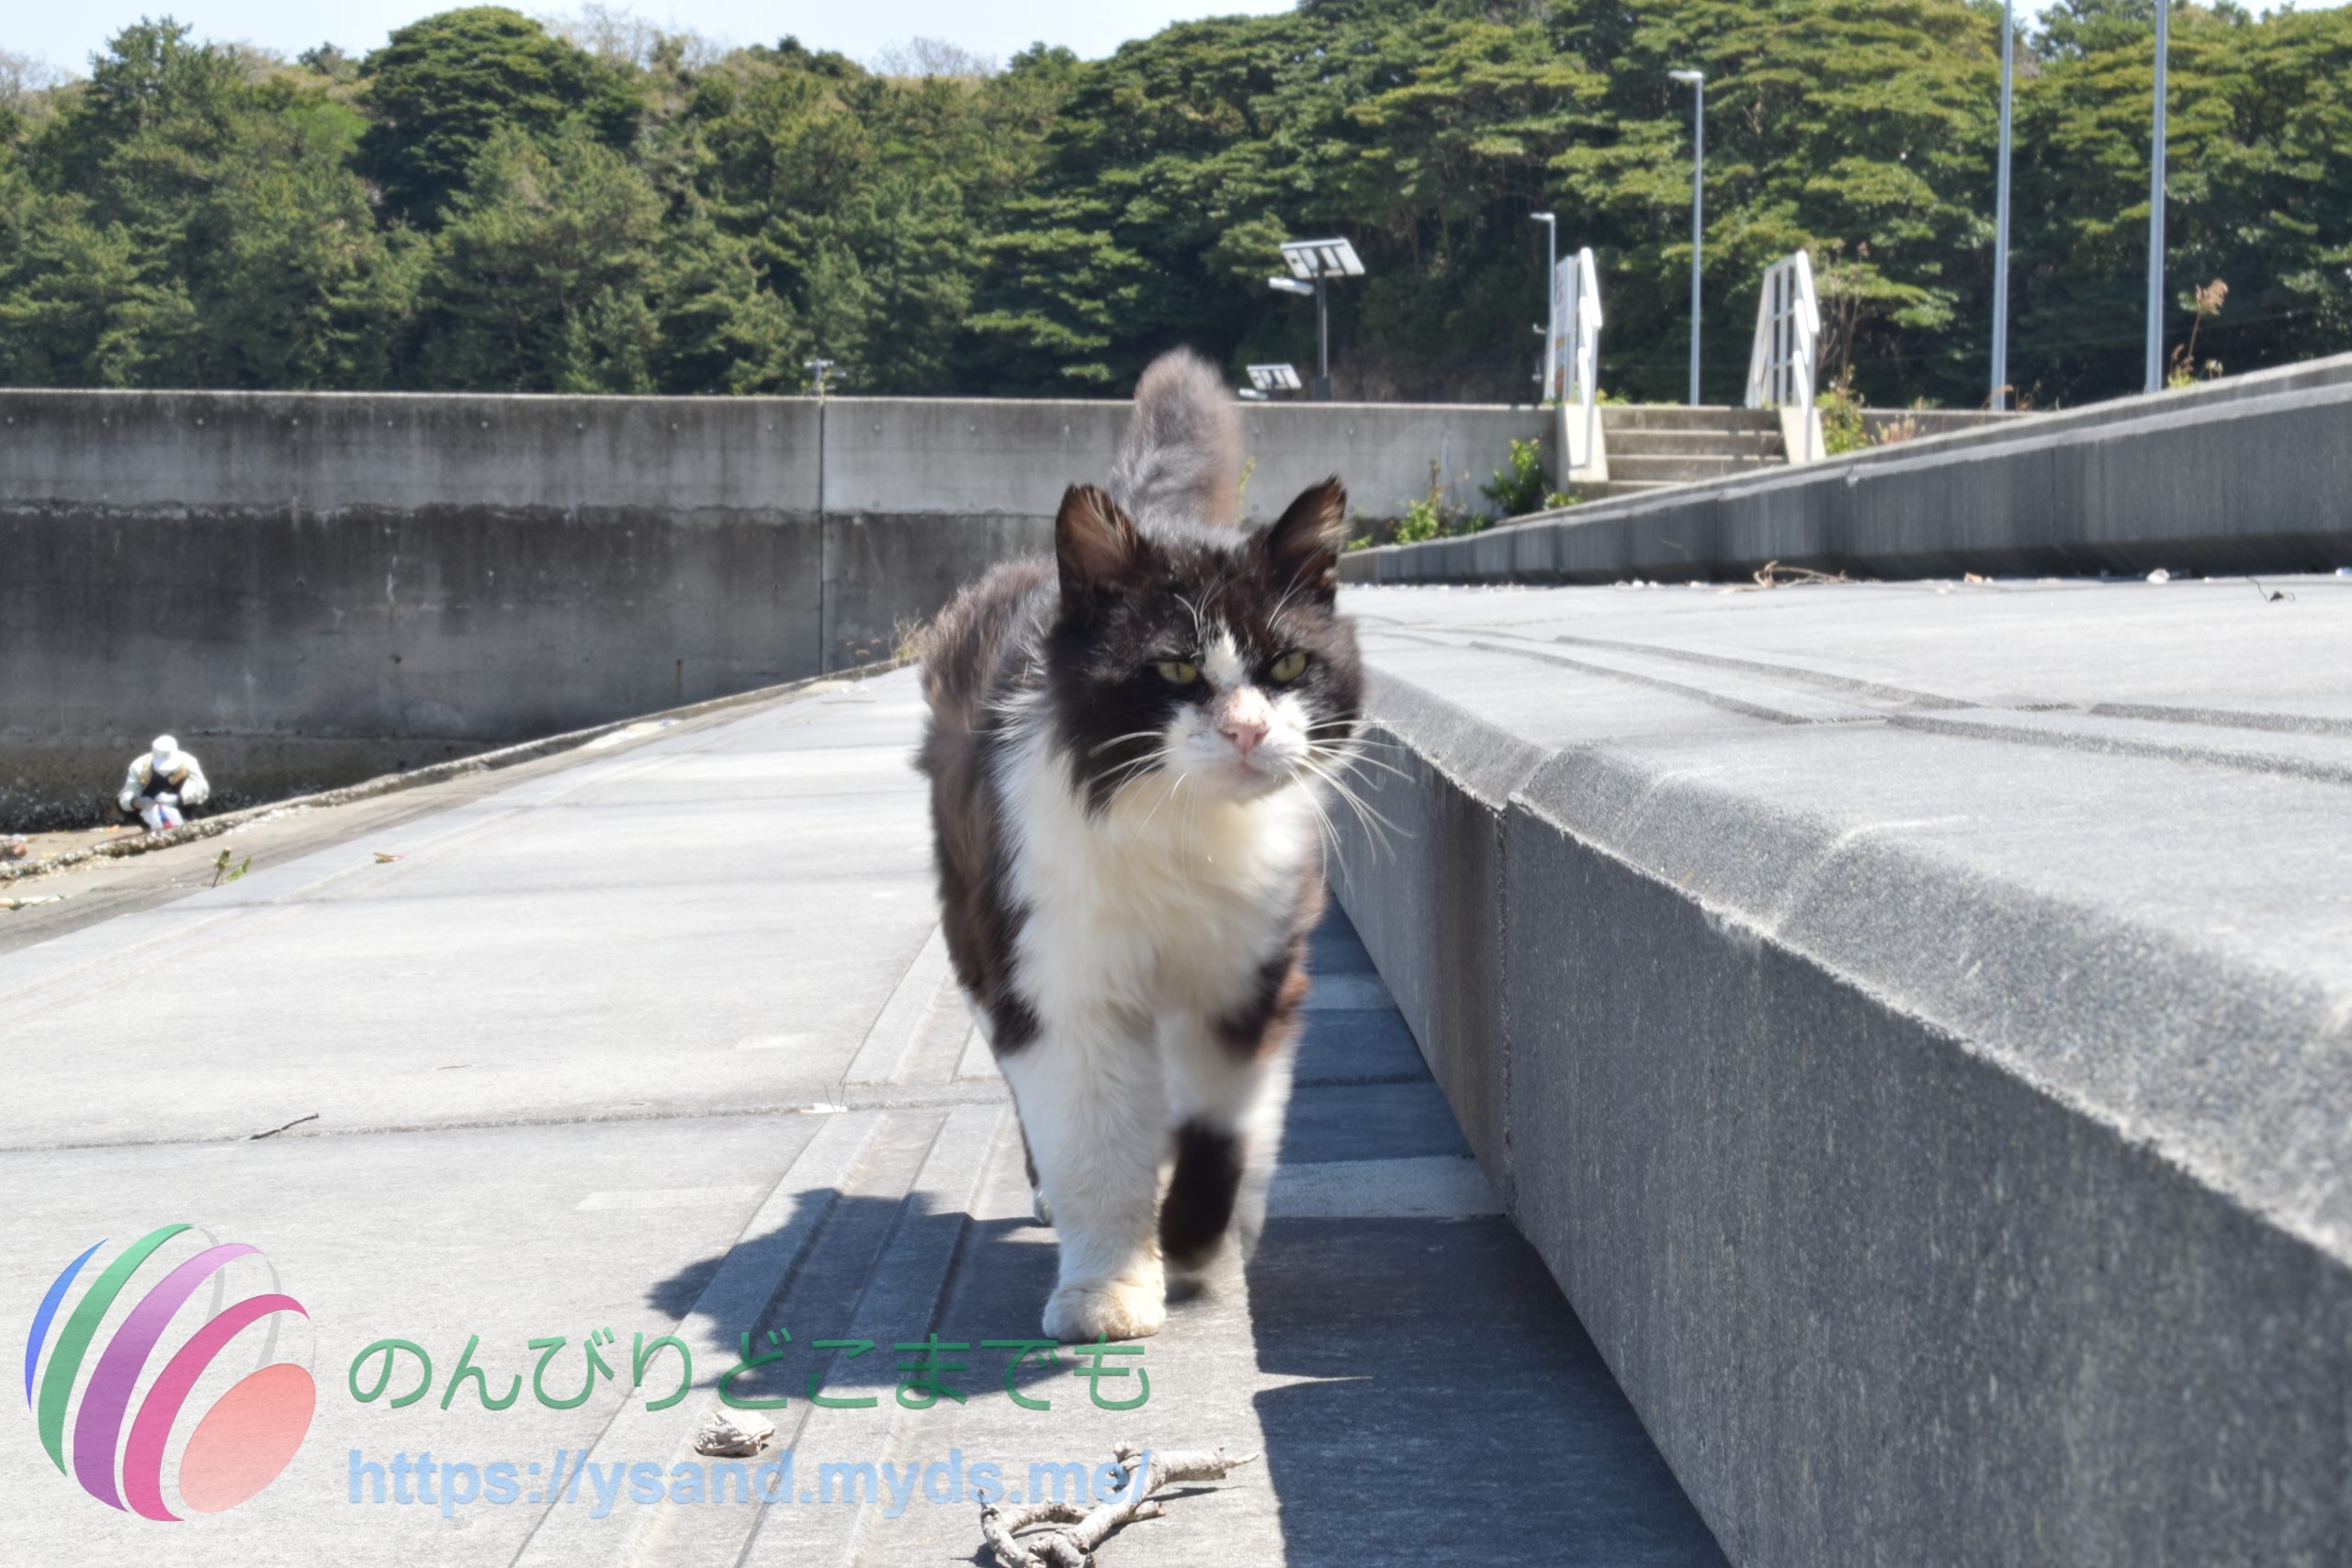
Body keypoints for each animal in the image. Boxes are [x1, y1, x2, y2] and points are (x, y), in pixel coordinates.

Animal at [917, 347, 1364, 1342]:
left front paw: (1194, 1239)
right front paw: (1108, 1288)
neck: (1181, 827)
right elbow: (1091, 1144)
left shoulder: (1250, 975)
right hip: (978, 924)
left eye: (1286, 665)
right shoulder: (1061, 980)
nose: (1246, 730)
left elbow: (1221, 1127)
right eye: (1176, 668)